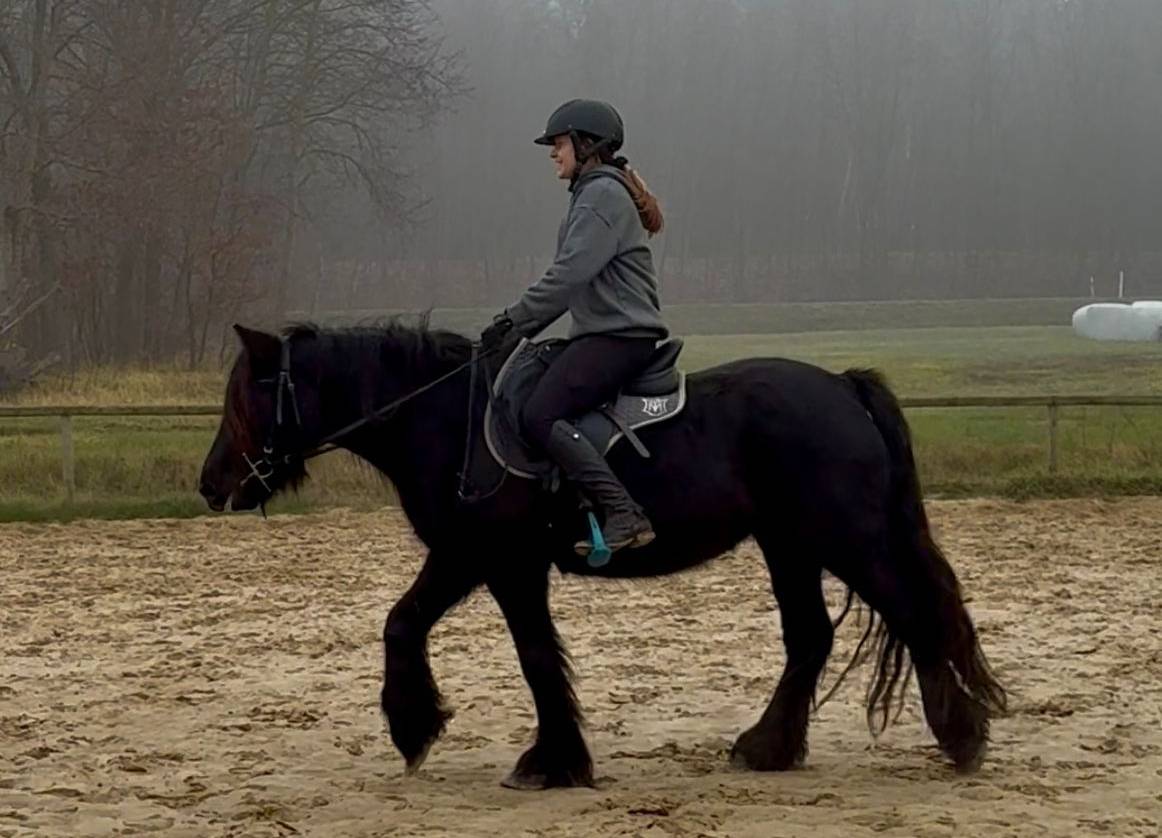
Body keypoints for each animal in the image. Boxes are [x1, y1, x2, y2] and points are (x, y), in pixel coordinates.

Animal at [197, 318, 1006, 790]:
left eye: (250, 394)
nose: (211, 484)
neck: (445, 418)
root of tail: (841, 386)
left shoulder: (492, 560)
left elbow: (505, 649)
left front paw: (512, 751)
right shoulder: (481, 561)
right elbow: (450, 634)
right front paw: (451, 733)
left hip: (848, 538)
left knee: (914, 616)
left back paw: (962, 738)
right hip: (790, 545)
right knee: (810, 637)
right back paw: (768, 747)